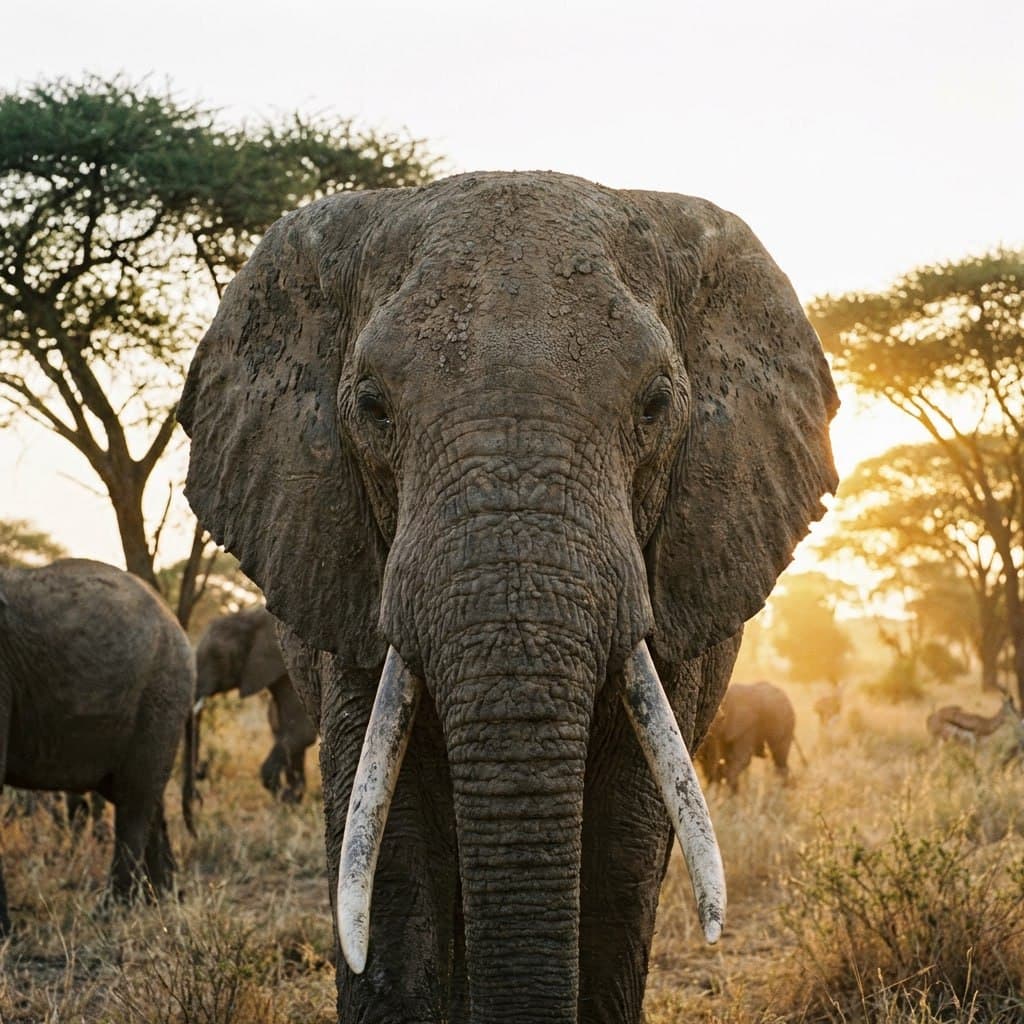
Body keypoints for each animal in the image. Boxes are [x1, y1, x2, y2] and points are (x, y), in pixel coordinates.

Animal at [188, 606, 317, 805]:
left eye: (218, 656)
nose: (203, 769)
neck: (251, 617)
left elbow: (301, 733)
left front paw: (283, 796)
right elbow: (287, 735)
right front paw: (291, 801)